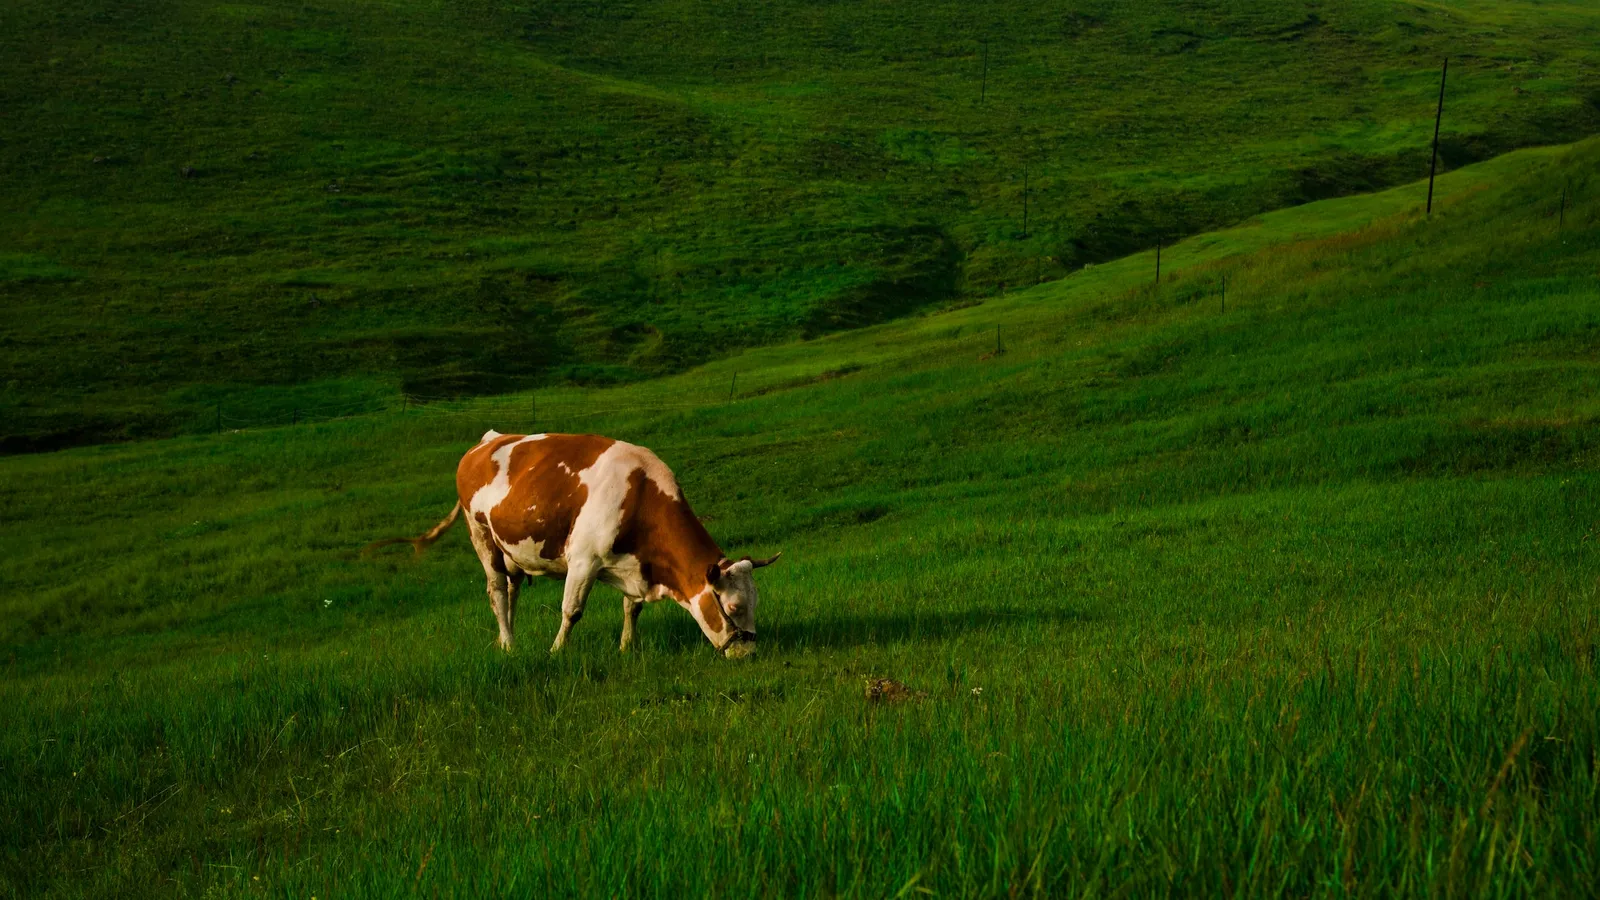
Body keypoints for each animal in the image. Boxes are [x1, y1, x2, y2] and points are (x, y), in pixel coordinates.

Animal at [366, 432, 779, 658]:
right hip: (481, 535)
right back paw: (510, 644)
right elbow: (572, 611)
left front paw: (626, 647)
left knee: (512, 593)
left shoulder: (632, 564)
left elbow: (631, 608)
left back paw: (506, 639)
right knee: (497, 591)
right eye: (734, 606)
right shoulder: (584, 559)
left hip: (511, 547)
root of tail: (485, 442)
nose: (749, 652)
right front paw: (556, 651)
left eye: (756, 602)